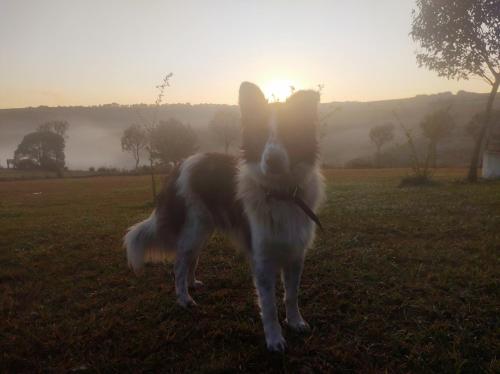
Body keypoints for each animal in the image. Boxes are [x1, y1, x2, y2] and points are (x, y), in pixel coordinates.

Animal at [124, 81, 324, 350]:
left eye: (290, 133)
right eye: (260, 135)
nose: (272, 161)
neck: (280, 193)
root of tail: (180, 165)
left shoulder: (295, 253)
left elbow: (291, 295)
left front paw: (295, 322)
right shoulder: (262, 259)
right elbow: (269, 305)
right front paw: (274, 338)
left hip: (203, 229)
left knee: (191, 259)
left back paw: (192, 284)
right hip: (193, 229)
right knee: (179, 264)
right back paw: (183, 298)